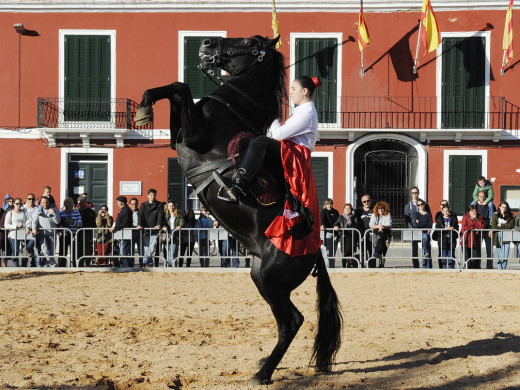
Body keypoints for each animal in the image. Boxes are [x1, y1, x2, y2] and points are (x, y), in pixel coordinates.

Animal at [136, 35, 344, 386]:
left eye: (248, 42)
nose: (207, 43)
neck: (232, 108)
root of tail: (314, 252)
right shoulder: (180, 135)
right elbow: (177, 92)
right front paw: (144, 106)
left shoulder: (194, 133)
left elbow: (181, 87)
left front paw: (145, 103)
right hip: (260, 276)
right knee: (288, 322)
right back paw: (265, 364)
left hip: (270, 281)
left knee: (292, 322)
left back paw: (263, 373)